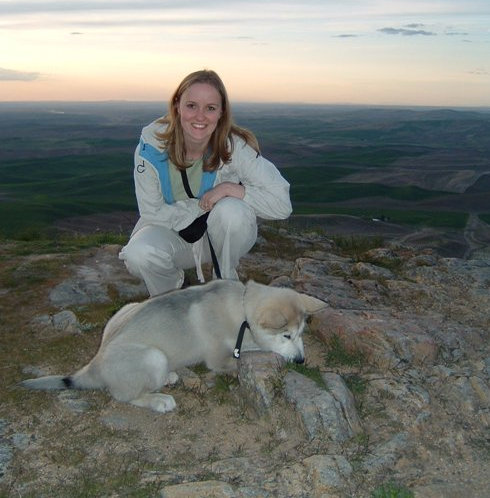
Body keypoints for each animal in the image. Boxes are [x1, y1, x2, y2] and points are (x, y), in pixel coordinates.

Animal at [21, 280, 328, 412]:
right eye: (286, 336)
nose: (301, 361)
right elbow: (251, 351)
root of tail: (93, 364)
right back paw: (159, 400)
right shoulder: (219, 358)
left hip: (127, 311)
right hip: (153, 356)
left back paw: (169, 377)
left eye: (301, 333)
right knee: (123, 395)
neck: (241, 307)